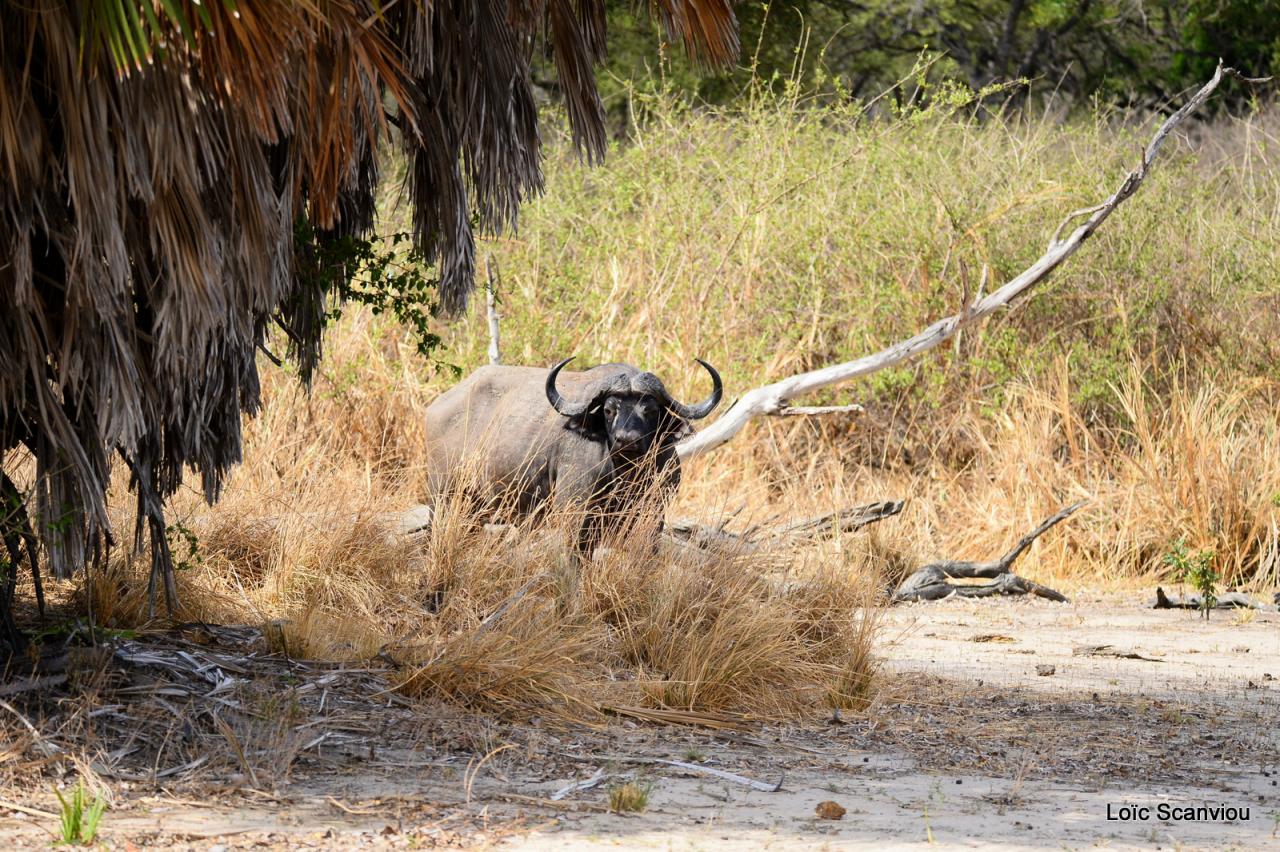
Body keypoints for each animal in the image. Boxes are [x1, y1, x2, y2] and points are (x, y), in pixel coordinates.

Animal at [427, 355, 721, 547]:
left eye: (650, 410)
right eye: (609, 410)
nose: (626, 440)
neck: (625, 474)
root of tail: (437, 406)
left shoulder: (653, 516)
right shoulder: (576, 514)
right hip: (442, 498)